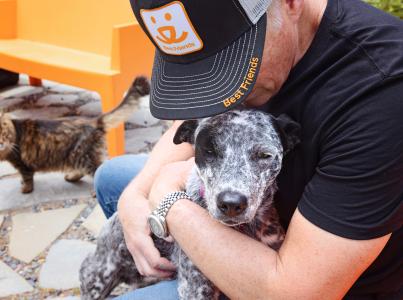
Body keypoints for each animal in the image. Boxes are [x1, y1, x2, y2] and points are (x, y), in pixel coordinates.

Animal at [79, 109, 300, 298]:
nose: (231, 203)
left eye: (264, 155)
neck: (246, 230)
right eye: (209, 151)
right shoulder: (196, 288)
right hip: (99, 277)